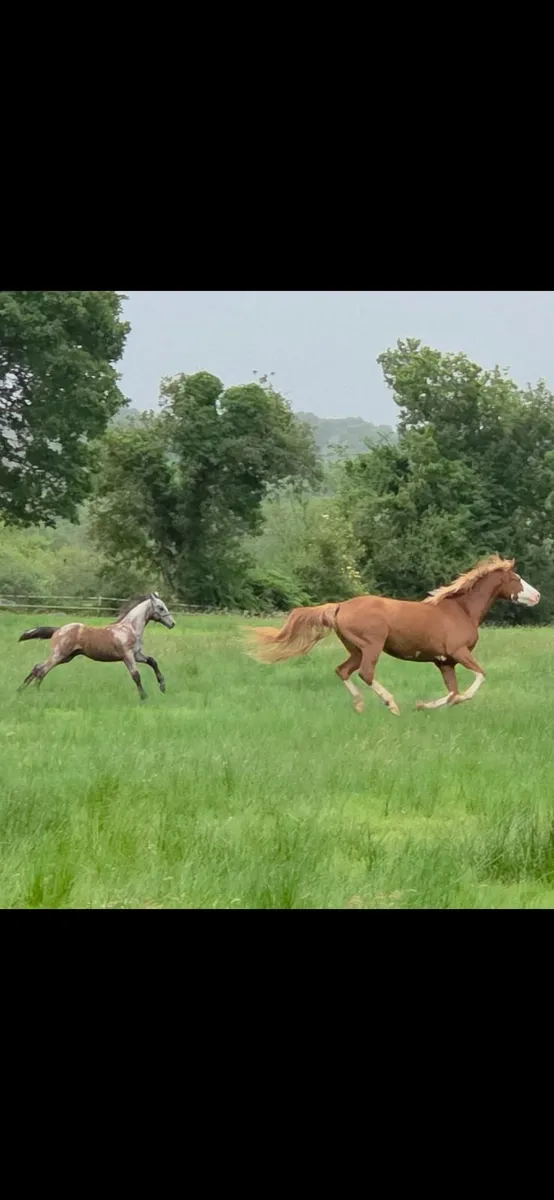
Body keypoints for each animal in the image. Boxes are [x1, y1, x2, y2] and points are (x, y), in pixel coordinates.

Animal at [17, 592, 175, 701]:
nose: (172, 624)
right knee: (42, 670)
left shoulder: (137, 654)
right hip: (59, 654)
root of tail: (58, 629)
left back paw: (21, 690)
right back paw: (35, 692)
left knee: (38, 667)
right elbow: (136, 675)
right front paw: (144, 697)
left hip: (66, 657)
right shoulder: (127, 655)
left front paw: (162, 686)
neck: (128, 628)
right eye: (160, 608)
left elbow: (153, 661)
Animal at [245, 555, 540, 716]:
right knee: (366, 673)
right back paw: (391, 705)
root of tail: (340, 606)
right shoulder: (459, 652)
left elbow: (452, 692)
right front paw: (423, 705)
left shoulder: (445, 662)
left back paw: (360, 705)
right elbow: (476, 679)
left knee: (343, 670)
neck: (461, 610)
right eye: (516, 578)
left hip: (356, 648)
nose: (537, 596)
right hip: (372, 646)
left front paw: (423, 706)